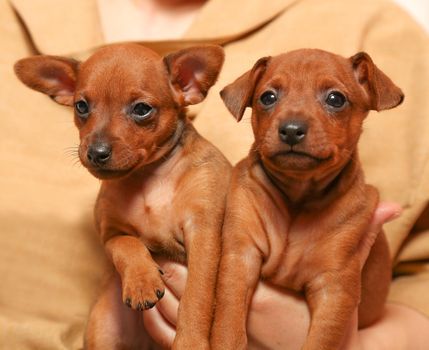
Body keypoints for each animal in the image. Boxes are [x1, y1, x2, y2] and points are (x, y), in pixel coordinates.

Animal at [14, 42, 231, 348]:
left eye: (141, 109)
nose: (96, 152)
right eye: (81, 106)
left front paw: (190, 341)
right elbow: (127, 246)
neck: (149, 180)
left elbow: (197, 295)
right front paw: (142, 282)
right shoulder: (111, 234)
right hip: (103, 327)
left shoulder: (204, 234)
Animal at [211, 50, 402, 350]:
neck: (297, 197)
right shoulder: (240, 257)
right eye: (268, 97)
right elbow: (228, 325)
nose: (291, 130)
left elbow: (321, 341)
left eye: (336, 99)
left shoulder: (335, 288)